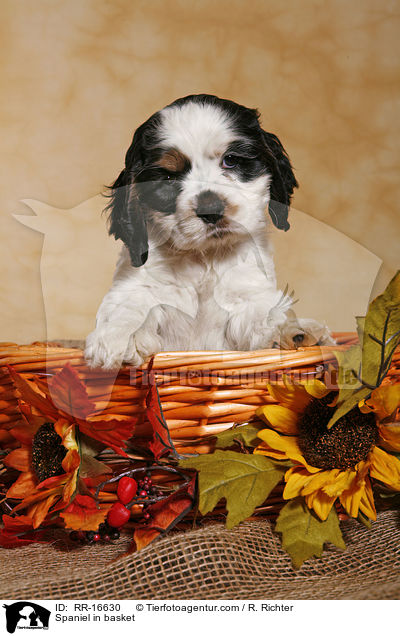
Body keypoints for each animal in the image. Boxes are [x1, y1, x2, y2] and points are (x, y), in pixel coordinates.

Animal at [85, 92, 334, 370]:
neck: (203, 256)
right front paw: (123, 336)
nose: (210, 209)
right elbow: (129, 304)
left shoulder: (247, 290)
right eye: (169, 178)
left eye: (231, 160)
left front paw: (289, 330)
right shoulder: (135, 283)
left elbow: (262, 312)